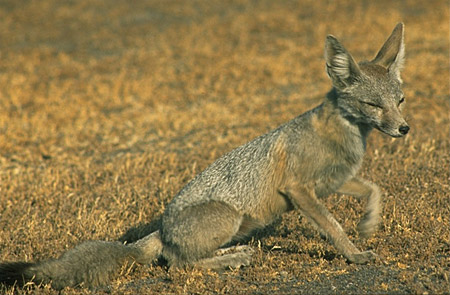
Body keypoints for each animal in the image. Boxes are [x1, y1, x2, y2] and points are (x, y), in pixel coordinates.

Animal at [0, 23, 408, 292]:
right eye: (374, 105)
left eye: (400, 101)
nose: (404, 129)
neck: (345, 135)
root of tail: (162, 227)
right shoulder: (300, 191)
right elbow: (333, 227)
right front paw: (355, 255)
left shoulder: (336, 181)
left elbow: (375, 190)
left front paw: (368, 224)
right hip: (229, 217)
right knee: (176, 263)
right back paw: (231, 258)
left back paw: (233, 253)